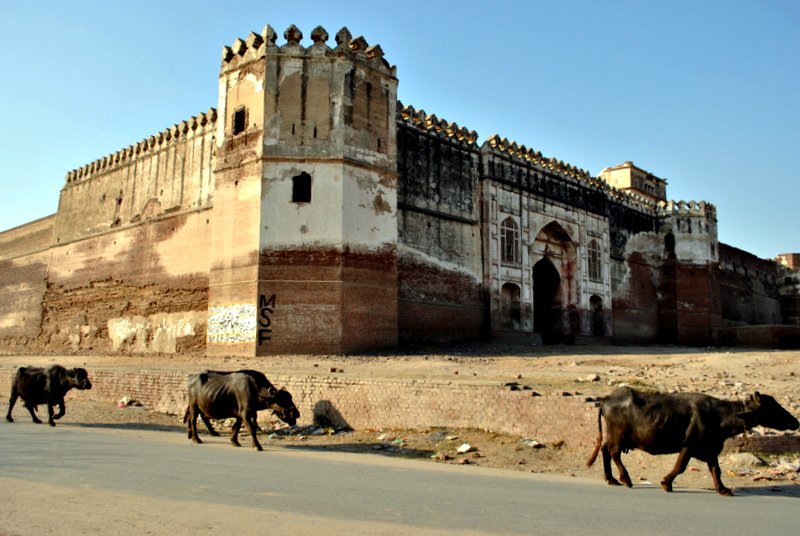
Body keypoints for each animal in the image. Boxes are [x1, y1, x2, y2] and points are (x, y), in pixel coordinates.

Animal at [584, 386, 796, 494]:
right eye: (773, 407)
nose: (796, 422)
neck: (719, 416)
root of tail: (605, 399)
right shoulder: (689, 445)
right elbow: (680, 466)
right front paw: (666, 483)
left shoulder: (710, 450)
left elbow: (716, 470)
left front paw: (723, 489)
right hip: (619, 436)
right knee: (613, 452)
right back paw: (625, 479)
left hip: (613, 435)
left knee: (605, 451)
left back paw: (611, 479)